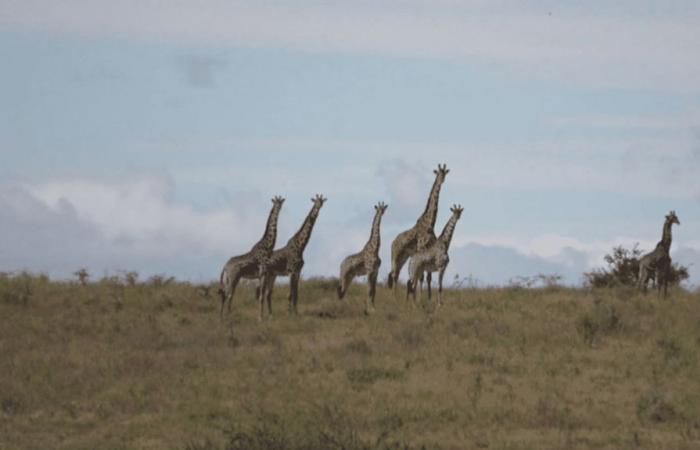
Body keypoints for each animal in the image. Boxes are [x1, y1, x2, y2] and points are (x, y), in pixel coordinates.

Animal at [386, 163, 452, 294]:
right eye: (438, 173)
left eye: (445, 173)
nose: (442, 180)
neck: (430, 223)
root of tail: (393, 243)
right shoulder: (421, 248)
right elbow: (421, 277)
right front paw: (420, 295)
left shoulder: (429, 250)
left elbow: (428, 277)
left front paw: (428, 296)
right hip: (396, 255)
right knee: (394, 274)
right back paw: (394, 296)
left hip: (404, 257)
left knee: (395, 274)